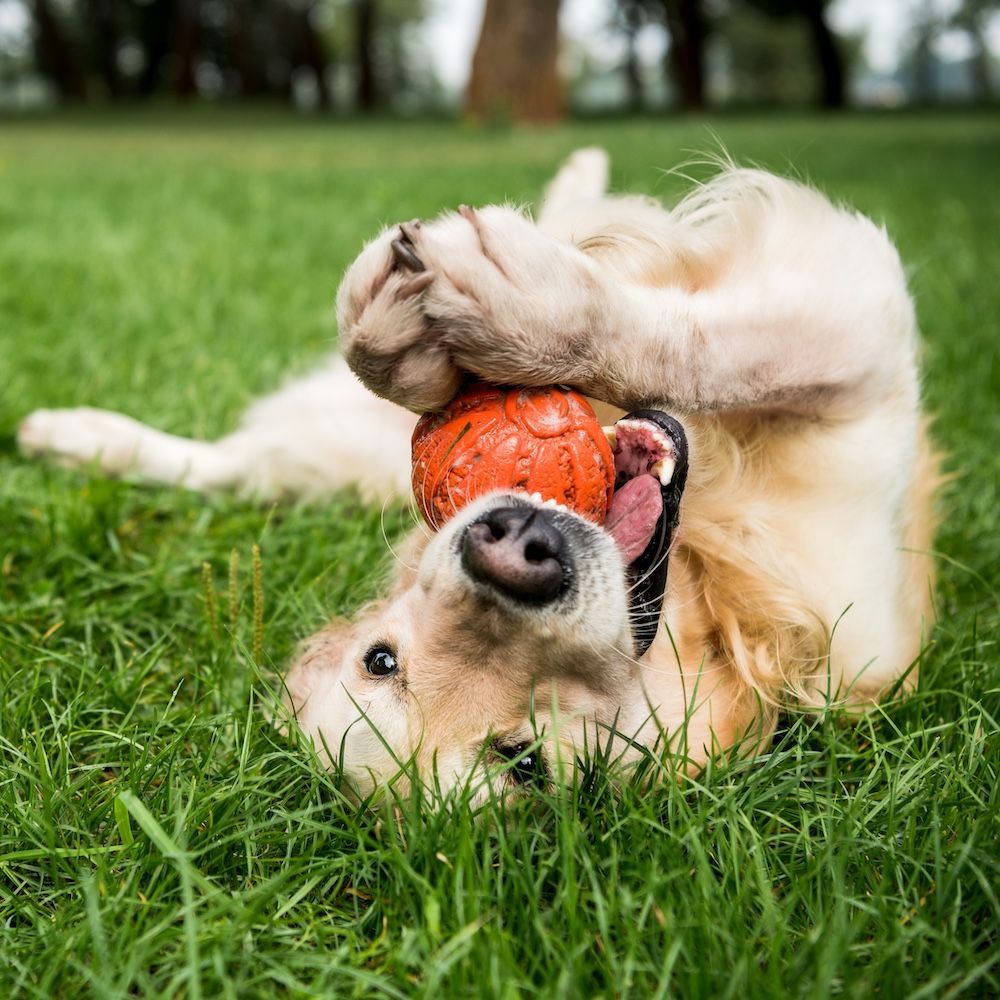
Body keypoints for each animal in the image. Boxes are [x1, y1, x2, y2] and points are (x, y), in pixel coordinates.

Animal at [17, 148, 936, 800]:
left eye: (379, 661)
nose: (514, 548)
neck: (705, 588)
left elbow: (708, 343)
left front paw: (501, 312)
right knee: (232, 466)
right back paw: (72, 437)